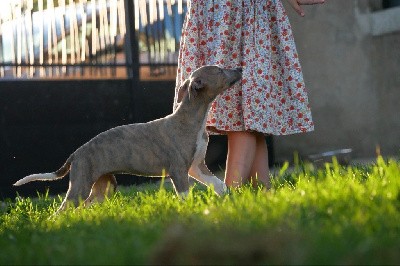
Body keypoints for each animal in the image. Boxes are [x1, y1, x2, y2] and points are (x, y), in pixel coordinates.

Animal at [14, 65, 242, 213]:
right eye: (219, 70)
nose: (240, 68)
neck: (193, 117)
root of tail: (76, 154)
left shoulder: (196, 167)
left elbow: (219, 184)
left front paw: (231, 199)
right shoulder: (178, 171)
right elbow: (185, 196)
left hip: (103, 187)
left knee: (84, 207)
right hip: (81, 185)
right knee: (62, 210)